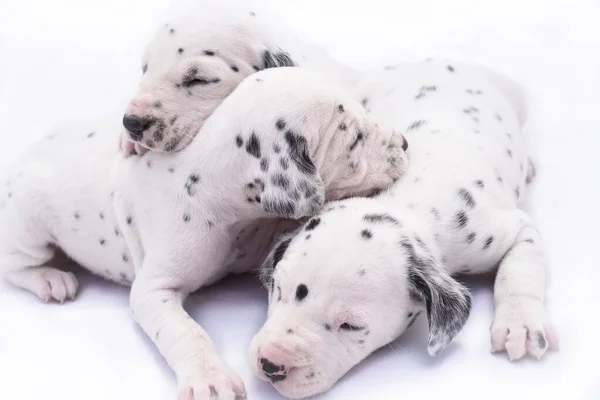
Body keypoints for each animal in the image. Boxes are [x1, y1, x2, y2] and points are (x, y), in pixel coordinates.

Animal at [0, 67, 408, 398]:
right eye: (353, 138)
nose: (404, 142)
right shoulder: (152, 291)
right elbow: (185, 331)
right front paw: (209, 378)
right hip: (29, 224)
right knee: (14, 264)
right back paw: (49, 279)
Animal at [251, 57, 560, 398]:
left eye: (352, 326)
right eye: (278, 289)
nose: (271, 363)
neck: (408, 199)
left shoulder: (512, 229)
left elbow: (519, 270)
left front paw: (522, 322)